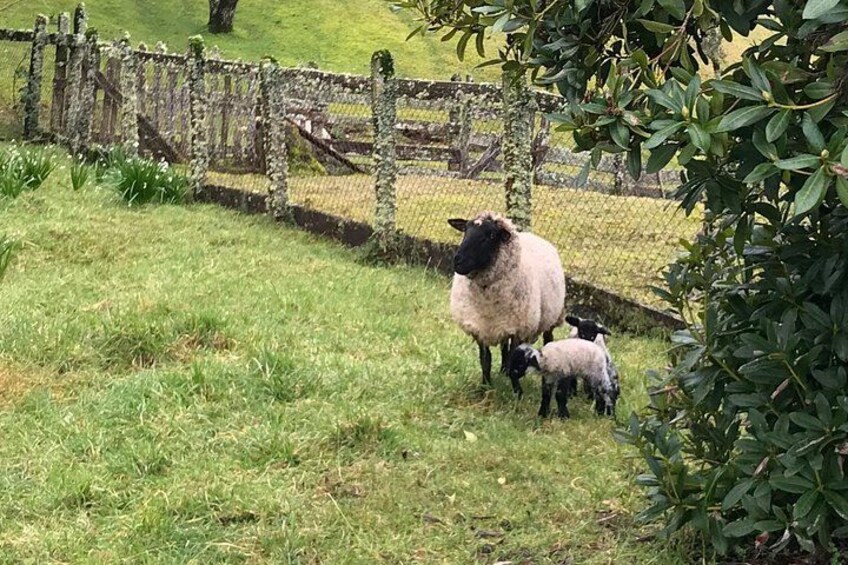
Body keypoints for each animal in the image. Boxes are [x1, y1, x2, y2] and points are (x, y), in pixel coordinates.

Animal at [448, 212, 566, 395]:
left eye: (491, 235)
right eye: (465, 230)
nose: (458, 261)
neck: (487, 302)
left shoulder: (518, 329)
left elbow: (513, 360)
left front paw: (517, 392)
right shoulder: (479, 327)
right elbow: (485, 360)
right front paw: (485, 387)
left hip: (551, 316)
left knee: (548, 339)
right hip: (504, 323)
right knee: (504, 346)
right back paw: (503, 370)